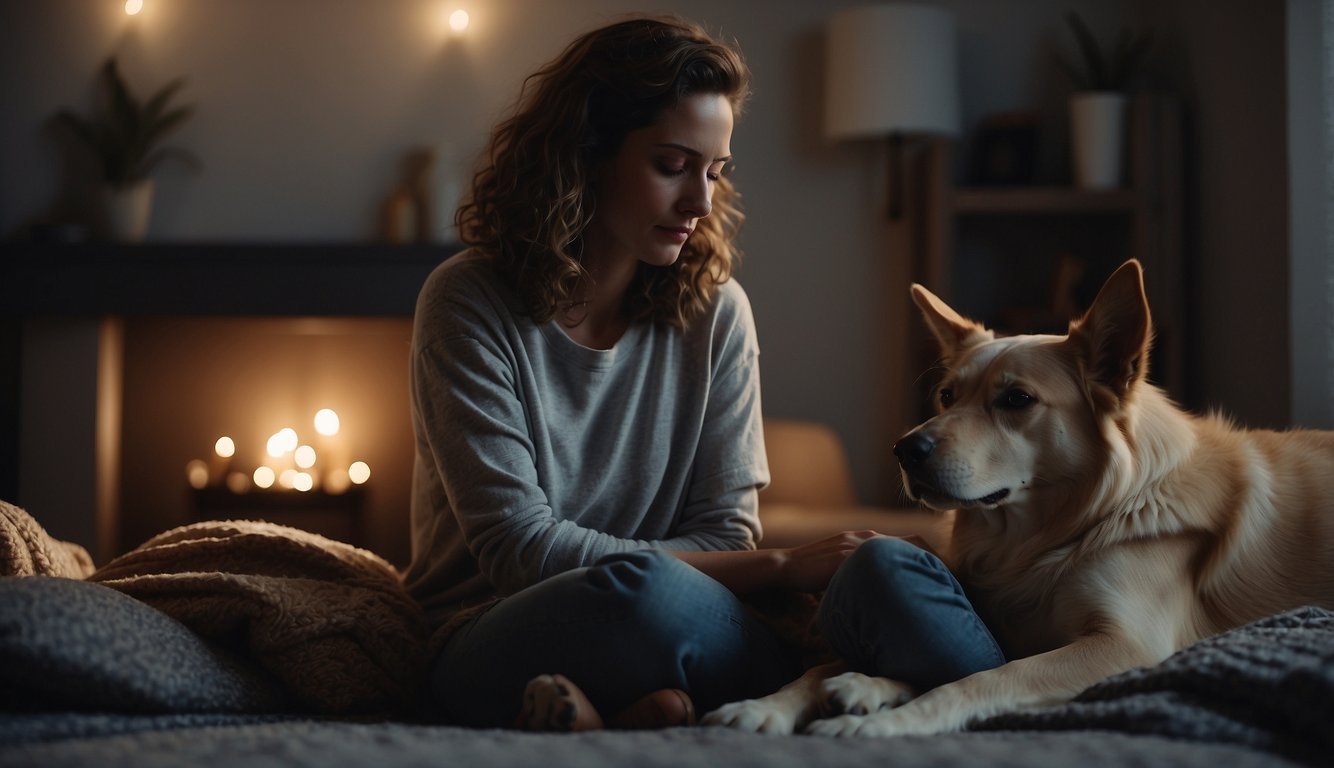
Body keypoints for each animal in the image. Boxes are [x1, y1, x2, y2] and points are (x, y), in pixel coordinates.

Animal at [704, 260, 1328, 736]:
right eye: (947, 395)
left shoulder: (1128, 645)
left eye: (1017, 399)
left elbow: (983, 677)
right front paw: (774, 703)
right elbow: (830, 666)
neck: (1048, 536)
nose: (904, 449)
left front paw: (882, 717)